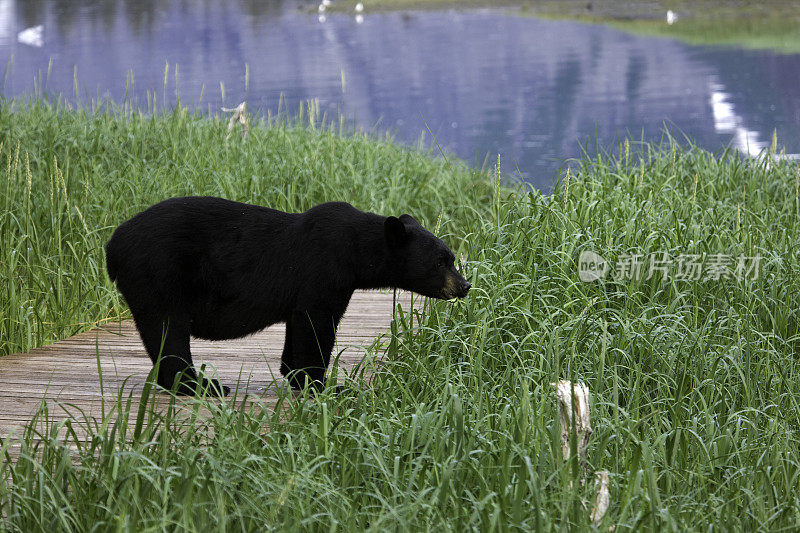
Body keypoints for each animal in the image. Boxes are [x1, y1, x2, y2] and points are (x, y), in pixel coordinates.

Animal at [104, 196, 472, 394]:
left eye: (451, 258)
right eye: (442, 261)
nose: (464, 285)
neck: (355, 249)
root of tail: (112, 246)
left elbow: (297, 326)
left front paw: (295, 374)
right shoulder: (324, 272)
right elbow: (317, 324)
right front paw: (325, 384)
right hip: (160, 274)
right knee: (169, 330)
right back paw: (201, 386)